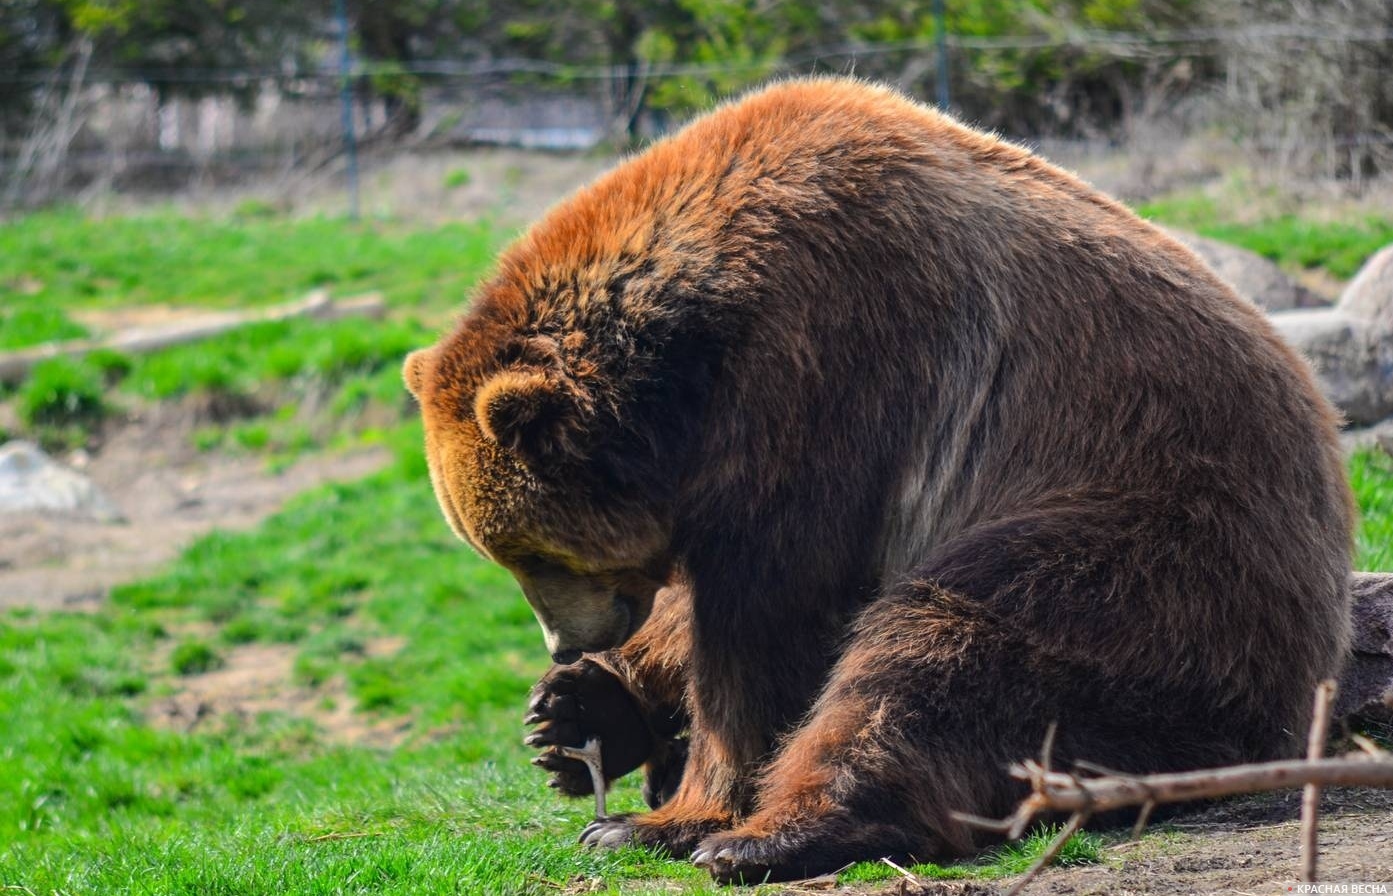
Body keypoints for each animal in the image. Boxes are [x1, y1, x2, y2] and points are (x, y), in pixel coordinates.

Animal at [402, 77, 1353, 882]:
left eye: (531, 552)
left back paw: (773, 837)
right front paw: (573, 713)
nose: (564, 644)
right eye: (501, 553)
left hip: (1146, 545)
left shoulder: (830, 364)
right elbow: (698, 608)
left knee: (943, 650)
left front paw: (665, 817)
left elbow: (768, 613)